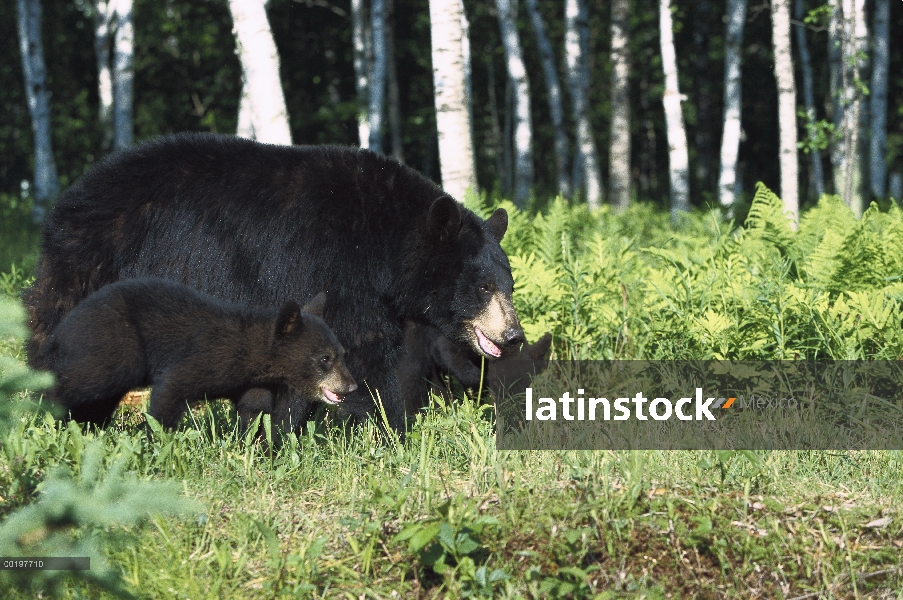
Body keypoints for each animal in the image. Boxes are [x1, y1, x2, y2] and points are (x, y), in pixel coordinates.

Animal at [39, 278, 356, 428]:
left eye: (342, 353)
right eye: (324, 359)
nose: (351, 386)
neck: (252, 348)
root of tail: (63, 328)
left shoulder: (252, 380)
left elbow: (255, 409)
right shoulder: (207, 356)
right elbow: (171, 388)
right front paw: (156, 441)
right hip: (116, 345)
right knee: (85, 378)